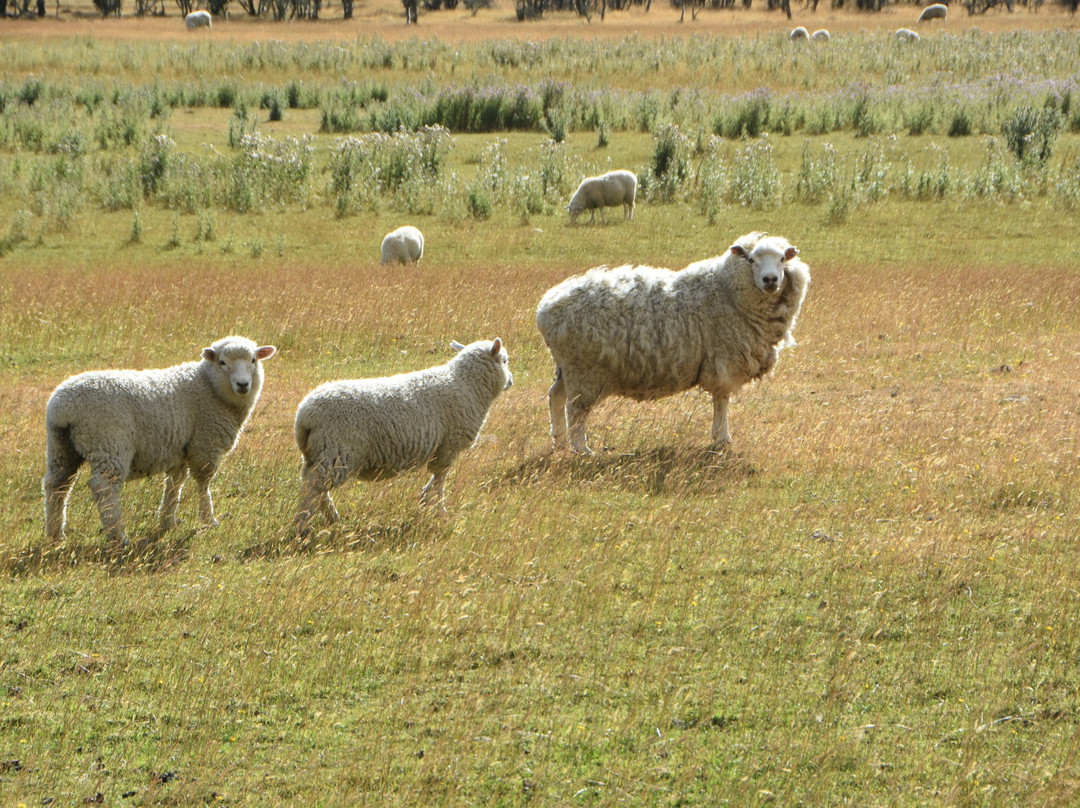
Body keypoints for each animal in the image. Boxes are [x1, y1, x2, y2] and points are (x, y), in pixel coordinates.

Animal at [41, 334, 278, 542]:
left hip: (61, 445)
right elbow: (203, 484)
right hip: (108, 444)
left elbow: (175, 483)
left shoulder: (180, 448)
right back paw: (118, 536)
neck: (209, 387)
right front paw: (208, 520)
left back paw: (55, 533)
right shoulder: (205, 445)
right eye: (222, 362)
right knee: (104, 488)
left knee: (57, 484)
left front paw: (167, 521)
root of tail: (64, 407)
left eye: (253, 360)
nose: (243, 384)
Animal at [293, 337, 511, 533]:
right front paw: (439, 509)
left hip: (317, 454)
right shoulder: (449, 445)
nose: (511, 381)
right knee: (312, 489)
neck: (466, 384)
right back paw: (302, 527)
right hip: (335, 452)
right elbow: (440, 478)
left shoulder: (442, 448)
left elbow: (437, 478)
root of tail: (305, 414)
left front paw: (425, 499)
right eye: (505, 360)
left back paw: (331, 518)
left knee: (314, 486)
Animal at [537, 232, 812, 453]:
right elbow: (721, 401)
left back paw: (559, 441)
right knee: (576, 409)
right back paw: (580, 449)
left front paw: (720, 438)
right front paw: (722, 439)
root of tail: (546, 307)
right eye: (751, 259)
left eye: (783, 259)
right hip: (585, 369)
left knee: (556, 397)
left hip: (568, 368)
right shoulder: (724, 359)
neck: (726, 292)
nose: (770, 280)